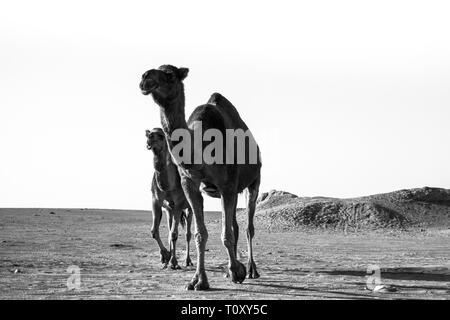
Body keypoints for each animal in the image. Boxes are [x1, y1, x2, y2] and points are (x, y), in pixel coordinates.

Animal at [145, 129, 192, 268]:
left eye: (161, 136)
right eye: (149, 134)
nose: (149, 139)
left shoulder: (178, 204)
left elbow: (175, 234)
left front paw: (174, 262)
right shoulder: (155, 201)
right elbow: (154, 231)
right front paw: (165, 256)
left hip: (188, 208)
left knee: (187, 233)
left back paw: (188, 261)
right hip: (168, 210)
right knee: (170, 230)